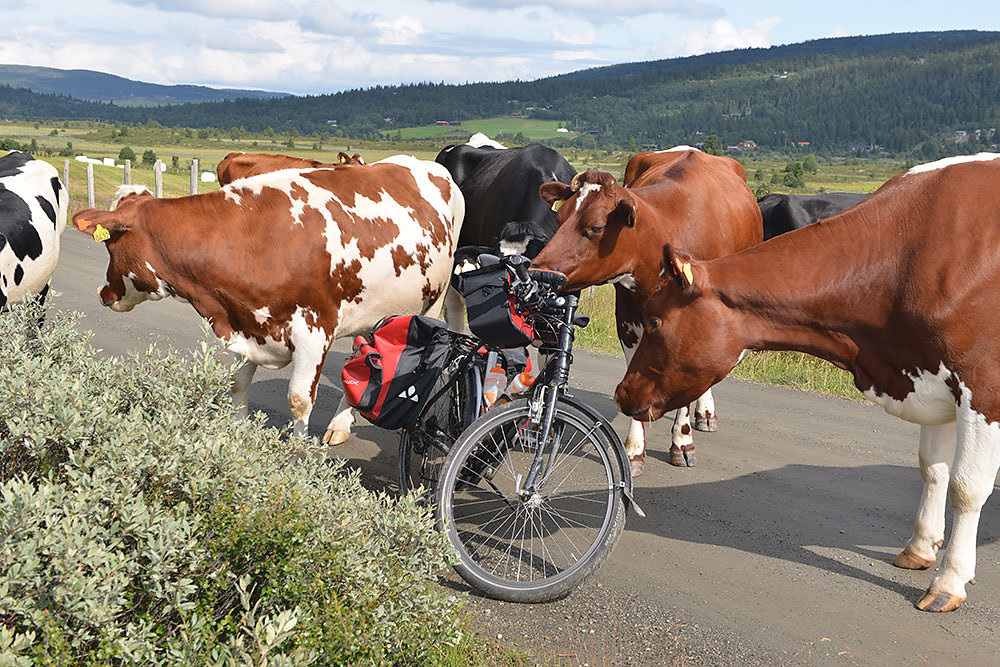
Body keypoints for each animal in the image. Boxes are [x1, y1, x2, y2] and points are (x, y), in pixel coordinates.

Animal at [75, 156, 464, 446]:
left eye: (109, 246)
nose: (102, 292)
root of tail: (424, 163)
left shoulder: (314, 331)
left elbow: (299, 400)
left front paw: (297, 457)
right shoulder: (245, 323)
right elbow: (238, 384)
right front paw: (234, 436)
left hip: (435, 298)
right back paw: (340, 423)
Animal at [532, 146, 756, 474]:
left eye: (596, 227)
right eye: (559, 218)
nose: (538, 270)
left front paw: (682, 441)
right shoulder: (627, 319)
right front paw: (635, 449)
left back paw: (705, 413)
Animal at [612, 154, 1000, 612]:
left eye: (655, 321)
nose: (621, 392)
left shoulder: (981, 387)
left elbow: (966, 486)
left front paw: (950, 580)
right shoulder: (926, 373)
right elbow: (933, 469)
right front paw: (920, 548)